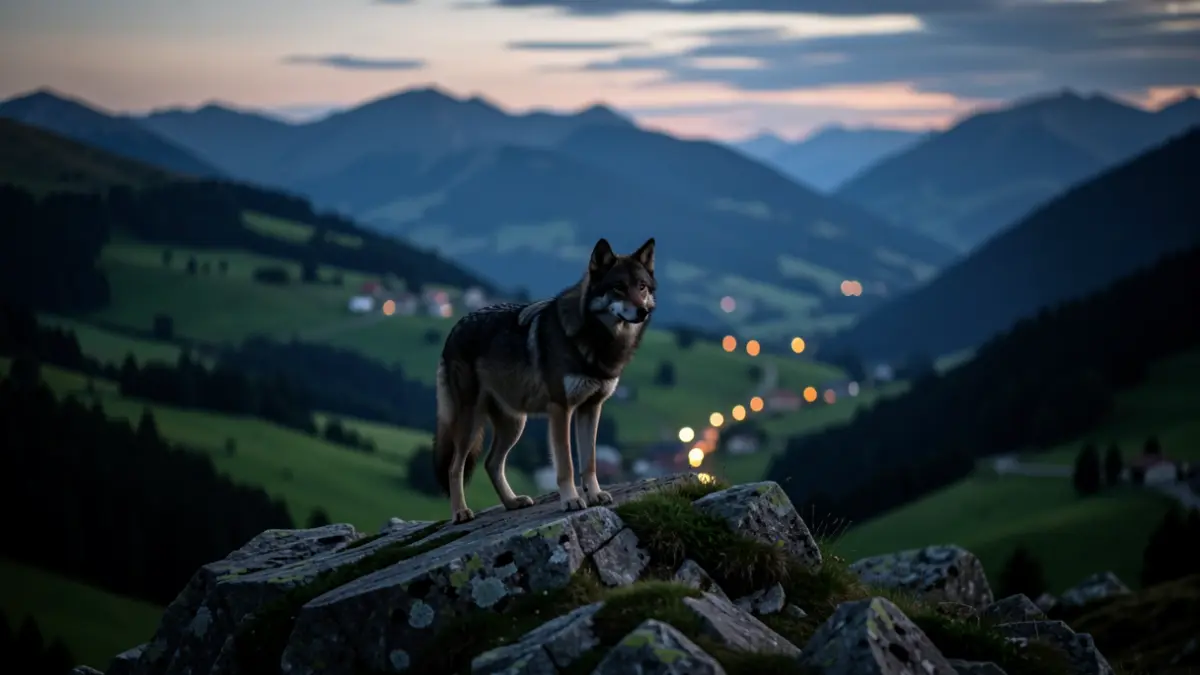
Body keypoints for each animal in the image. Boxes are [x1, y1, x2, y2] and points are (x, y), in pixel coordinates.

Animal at [432, 237, 657, 523]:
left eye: (641, 287)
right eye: (618, 287)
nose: (643, 311)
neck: (596, 340)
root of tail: (454, 329)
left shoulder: (591, 408)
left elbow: (589, 462)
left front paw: (595, 495)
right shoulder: (561, 409)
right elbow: (566, 464)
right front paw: (571, 500)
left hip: (515, 423)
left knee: (491, 462)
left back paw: (513, 502)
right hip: (471, 423)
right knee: (455, 466)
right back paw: (461, 512)